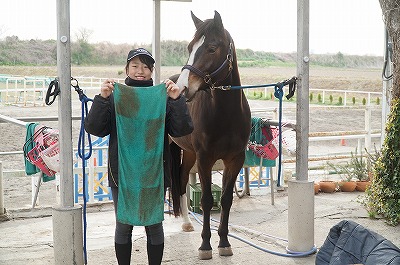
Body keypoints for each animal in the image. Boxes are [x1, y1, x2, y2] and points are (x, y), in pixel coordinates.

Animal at [170, 10, 252, 260]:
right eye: (190, 47)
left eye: (212, 48)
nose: (182, 89)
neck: (226, 114)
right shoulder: (205, 159)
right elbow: (207, 200)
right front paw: (205, 245)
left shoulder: (235, 159)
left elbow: (226, 199)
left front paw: (224, 242)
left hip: (188, 153)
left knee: (182, 179)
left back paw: (187, 222)